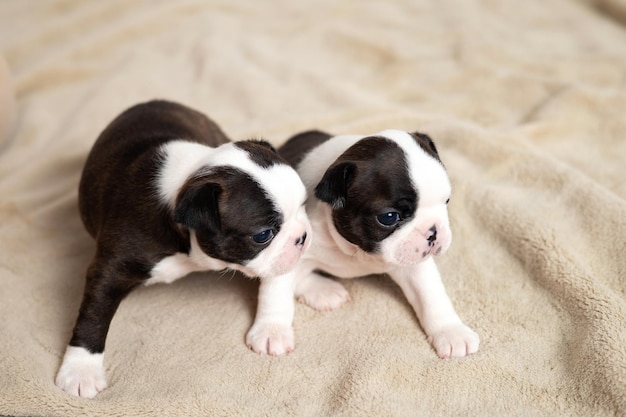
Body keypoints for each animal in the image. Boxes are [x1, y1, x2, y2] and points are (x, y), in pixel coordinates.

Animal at [57, 100, 310, 396]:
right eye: (263, 235)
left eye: (303, 205)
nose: (303, 236)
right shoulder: (109, 269)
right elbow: (94, 315)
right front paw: (81, 369)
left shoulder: (280, 258)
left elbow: (276, 284)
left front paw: (272, 330)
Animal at [278, 129, 478, 358]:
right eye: (389, 217)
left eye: (446, 201)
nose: (433, 231)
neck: (355, 250)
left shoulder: (414, 265)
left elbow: (430, 294)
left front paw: (451, 332)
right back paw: (323, 290)